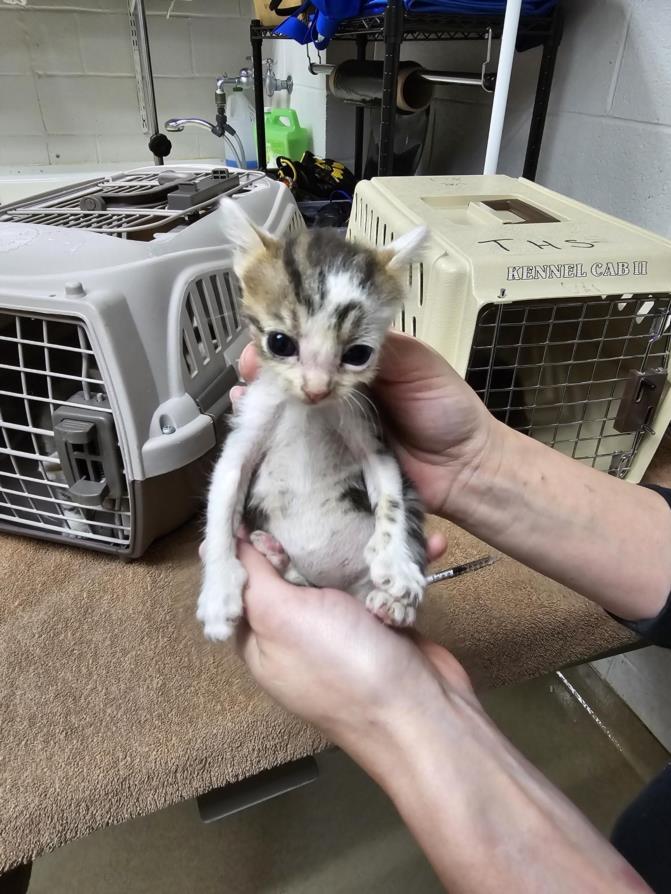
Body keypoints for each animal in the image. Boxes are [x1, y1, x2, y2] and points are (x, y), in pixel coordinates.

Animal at [200, 199, 428, 640]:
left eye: (358, 354)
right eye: (280, 343)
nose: (317, 389)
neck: (306, 409)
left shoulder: (366, 429)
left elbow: (391, 497)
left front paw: (396, 563)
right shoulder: (247, 426)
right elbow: (223, 497)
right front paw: (218, 589)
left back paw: (391, 607)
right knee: (299, 580)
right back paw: (275, 555)